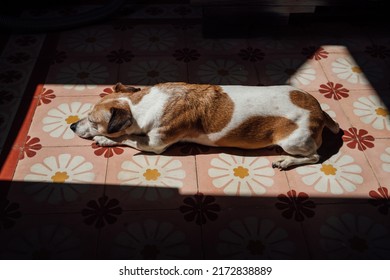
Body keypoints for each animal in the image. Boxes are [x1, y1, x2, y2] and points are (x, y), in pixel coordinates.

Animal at [70, 81, 338, 168]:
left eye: (93, 122)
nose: (72, 127)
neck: (140, 105)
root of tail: (320, 111)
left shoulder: (156, 145)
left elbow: (129, 138)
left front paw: (104, 139)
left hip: (292, 142)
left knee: (315, 157)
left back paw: (286, 162)